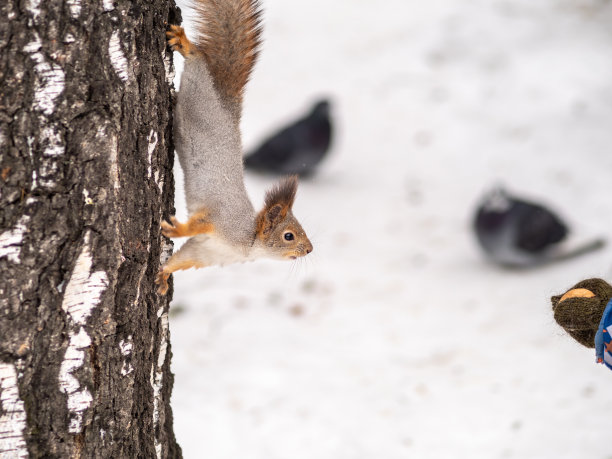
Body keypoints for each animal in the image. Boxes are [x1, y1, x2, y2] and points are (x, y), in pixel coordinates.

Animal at [155, 0, 314, 294]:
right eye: (289, 235)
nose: (309, 249)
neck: (249, 243)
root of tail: (226, 102)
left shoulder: (205, 252)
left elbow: (182, 259)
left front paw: (163, 275)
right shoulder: (220, 220)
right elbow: (196, 224)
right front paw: (175, 230)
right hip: (199, 91)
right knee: (197, 58)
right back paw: (183, 42)